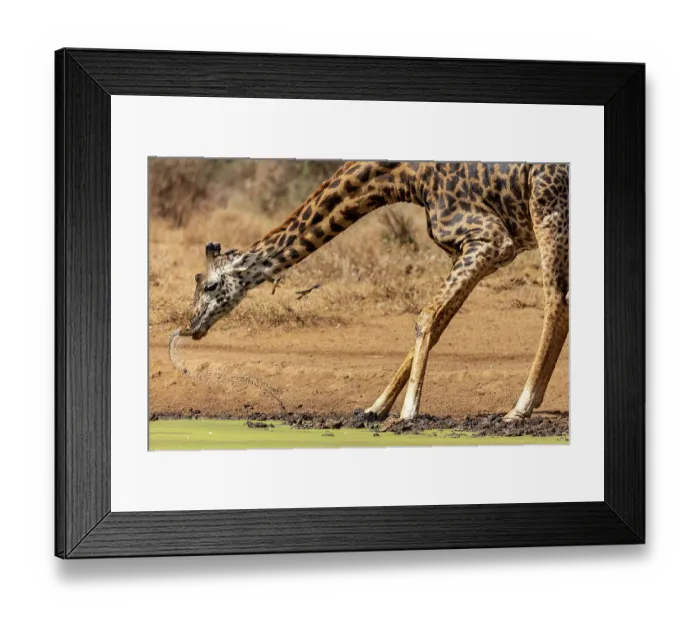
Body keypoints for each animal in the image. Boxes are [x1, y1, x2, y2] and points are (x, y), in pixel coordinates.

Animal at [181, 161, 569, 421]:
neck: (410, 178)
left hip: (549, 208)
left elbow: (425, 316)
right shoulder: (477, 251)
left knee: (556, 302)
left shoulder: (490, 240)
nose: (192, 327)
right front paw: (375, 408)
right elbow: (437, 323)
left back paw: (519, 408)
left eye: (211, 285)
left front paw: (408, 411)